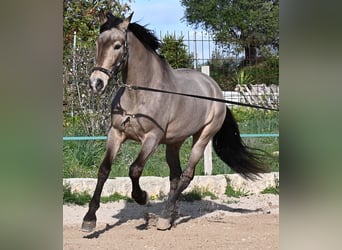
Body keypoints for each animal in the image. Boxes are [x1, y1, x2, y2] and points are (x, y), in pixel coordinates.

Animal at [81, 10, 266, 231]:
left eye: (117, 45)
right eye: (98, 43)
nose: (96, 83)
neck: (141, 93)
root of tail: (215, 90)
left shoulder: (151, 138)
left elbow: (134, 169)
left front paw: (142, 197)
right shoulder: (116, 133)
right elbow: (104, 169)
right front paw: (89, 219)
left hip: (202, 137)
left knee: (186, 175)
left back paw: (164, 216)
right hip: (174, 142)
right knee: (175, 176)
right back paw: (170, 215)